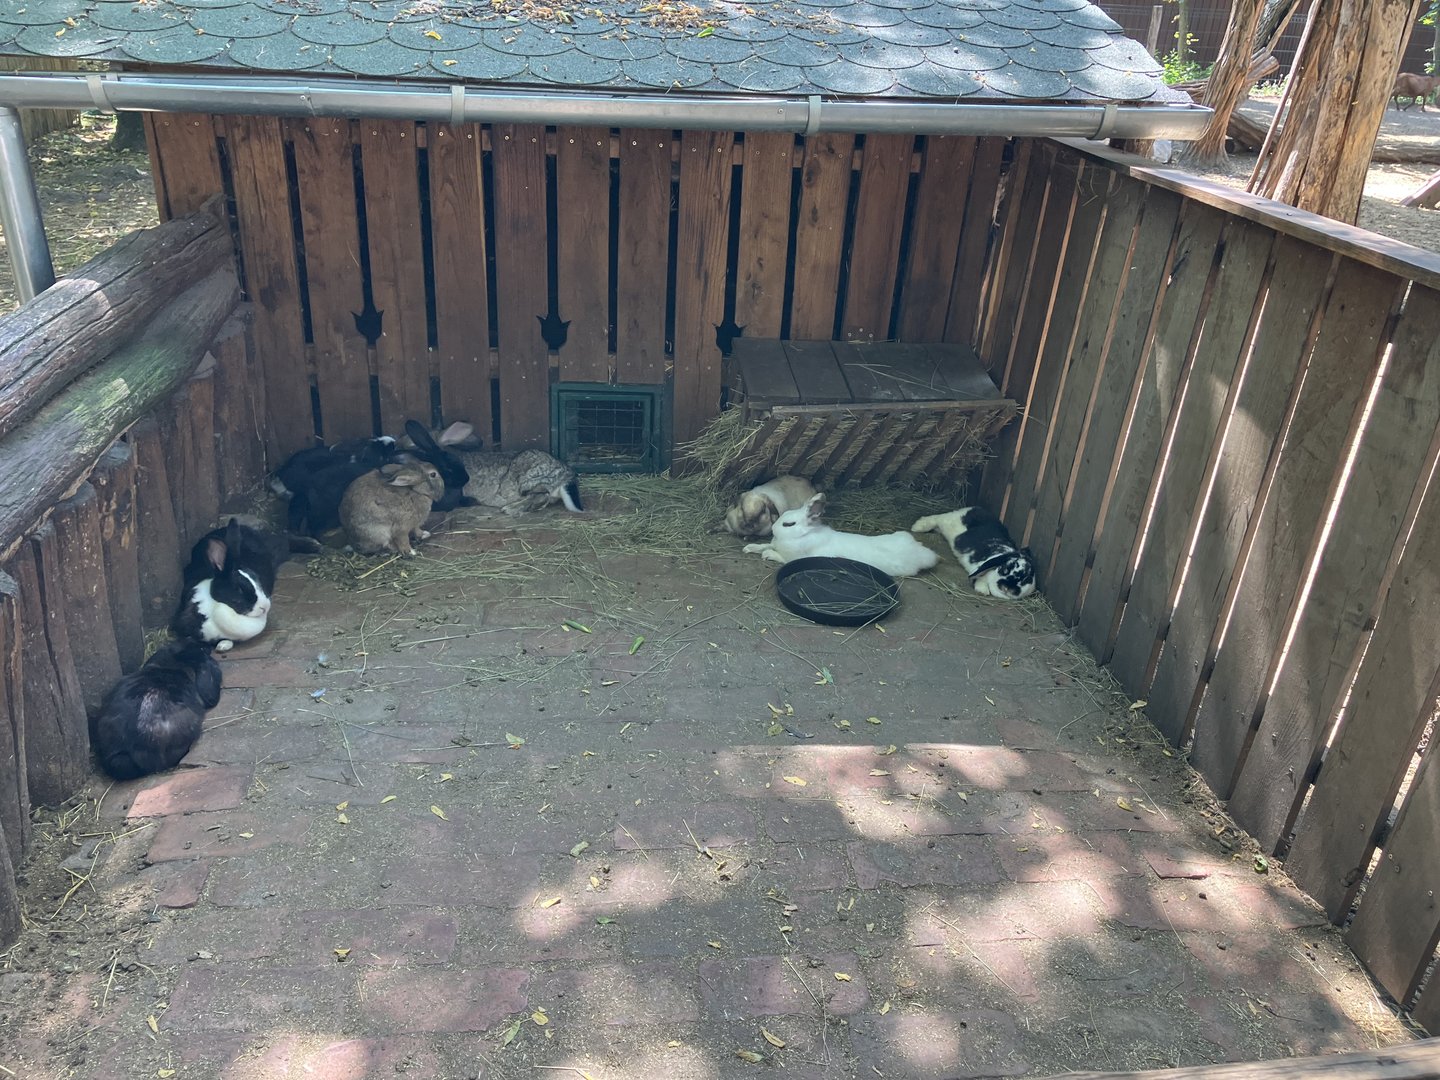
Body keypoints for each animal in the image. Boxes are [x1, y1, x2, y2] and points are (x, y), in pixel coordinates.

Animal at [744, 493, 939, 578]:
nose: (774, 529)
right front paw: (749, 548)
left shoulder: (792, 558)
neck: (803, 535)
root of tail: (925, 554)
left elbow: (777, 555)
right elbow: (766, 544)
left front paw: (767, 554)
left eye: (788, 524)